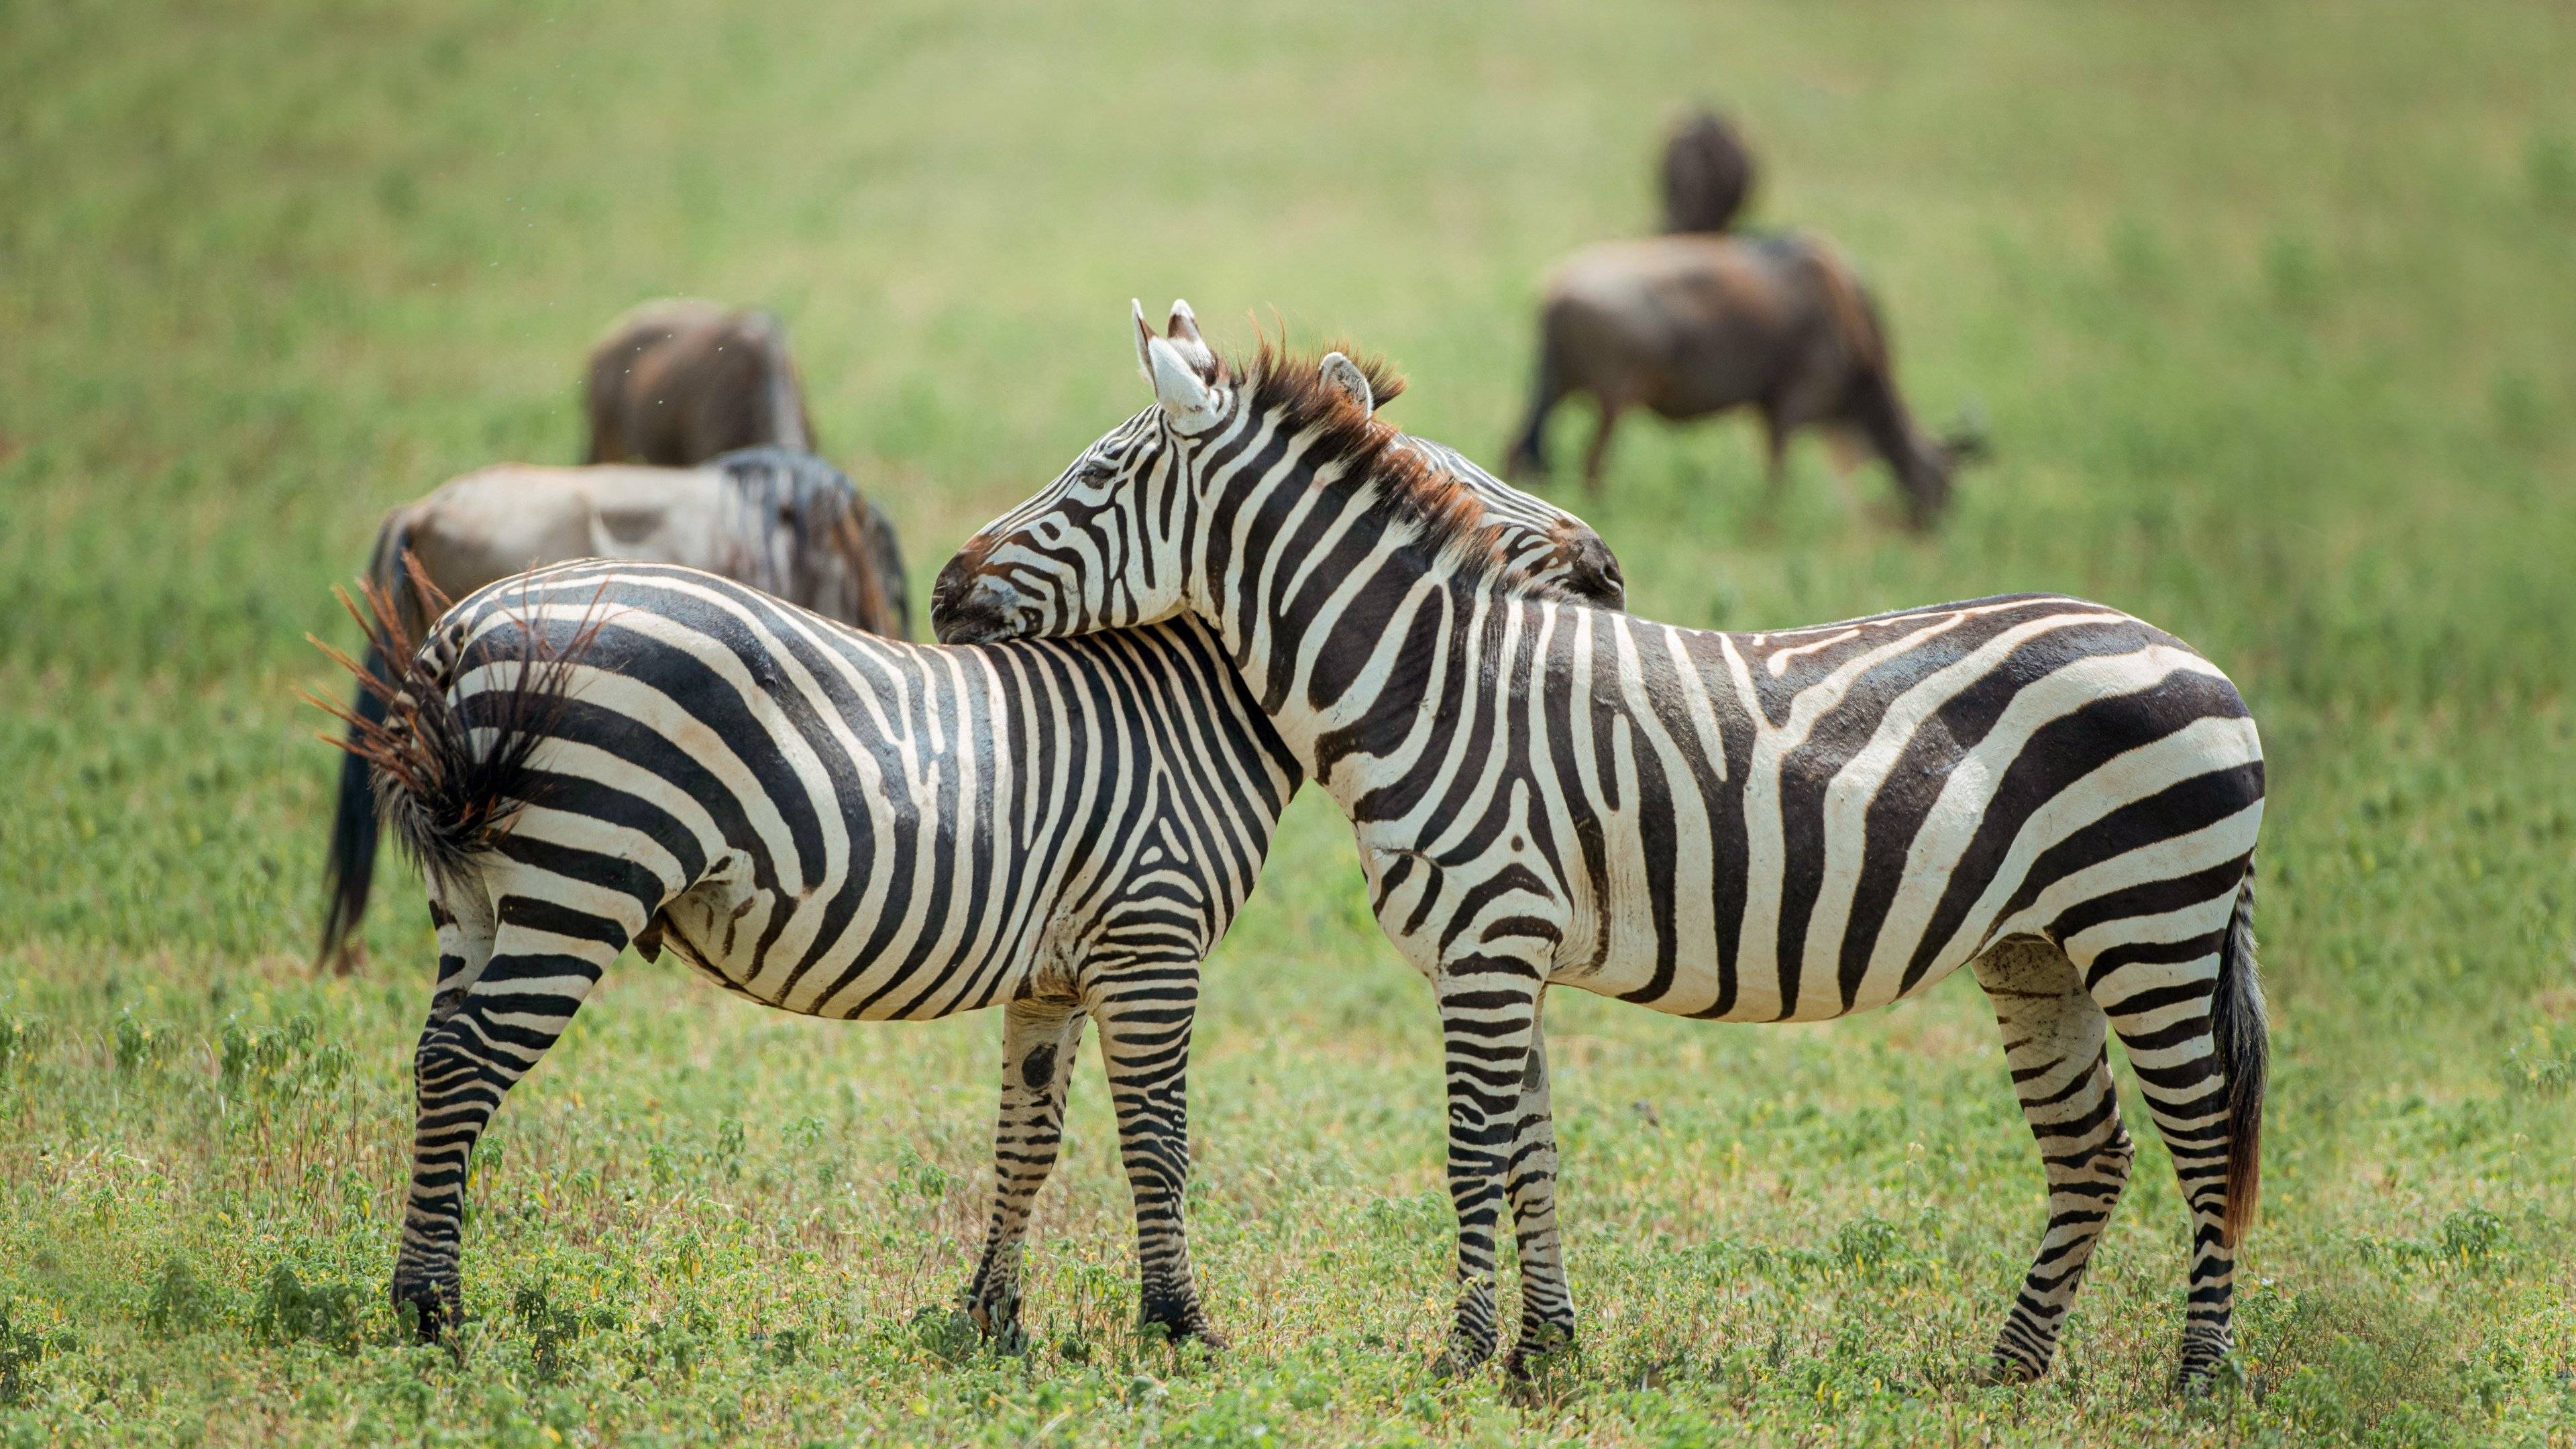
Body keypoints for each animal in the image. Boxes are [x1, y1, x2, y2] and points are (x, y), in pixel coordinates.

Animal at [311, 374, 1617, 1340]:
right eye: (1455, 490)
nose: (1608, 571)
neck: (1194, 705)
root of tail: (461, 624)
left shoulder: (1057, 972)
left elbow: (1026, 1145)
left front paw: (992, 1318)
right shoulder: (1152, 940)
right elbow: (1159, 1140)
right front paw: (1179, 1325)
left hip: (479, 902)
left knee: (433, 1058)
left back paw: (420, 1290)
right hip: (581, 875)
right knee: (467, 1066)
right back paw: (434, 1312)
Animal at [932, 296, 2277, 1392]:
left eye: (1095, 478)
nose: (943, 590)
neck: (1430, 681)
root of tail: (2199, 660)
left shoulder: (1489, 945)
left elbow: (1473, 1152)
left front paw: (1464, 1353)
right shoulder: (1506, 954)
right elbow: (1532, 1156)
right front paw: (1546, 1348)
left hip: (2152, 925)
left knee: (2208, 1143)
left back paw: (2197, 1379)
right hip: (2039, 951)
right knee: (2092, 1151)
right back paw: (2011, 1368)